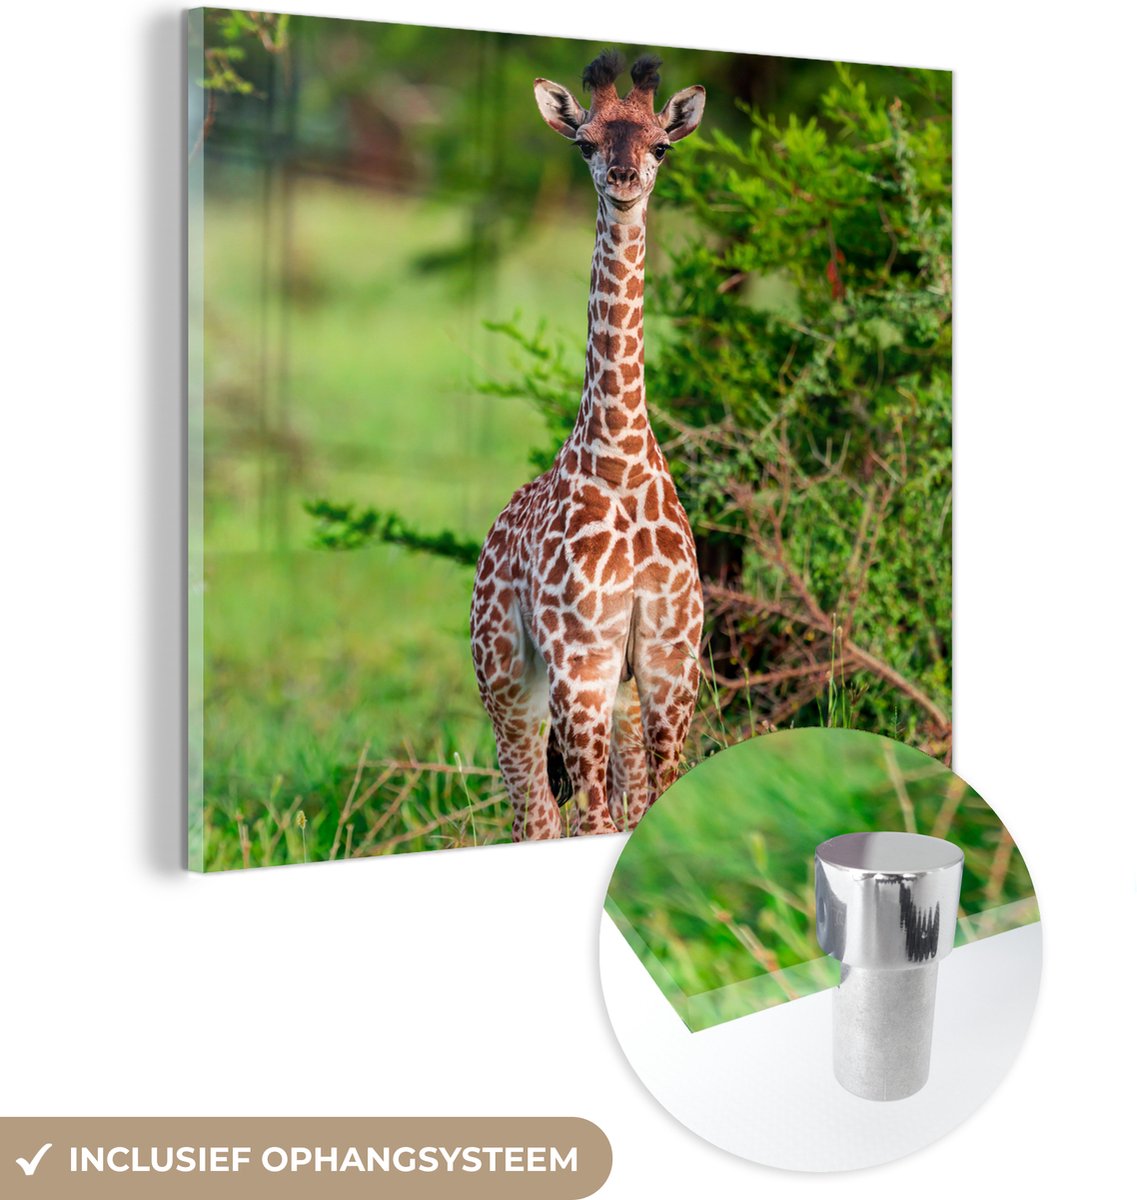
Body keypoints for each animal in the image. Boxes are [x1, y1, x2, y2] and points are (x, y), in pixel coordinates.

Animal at [470, 50, 706, 841]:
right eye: (585, 143)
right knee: (536, 815)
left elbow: (653, 807)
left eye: (661, 145)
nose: (625, 181)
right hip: (508, 683)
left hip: (618, 699)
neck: (621, 453)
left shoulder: (668, 664)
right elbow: (594, 824)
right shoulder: (581, 663)